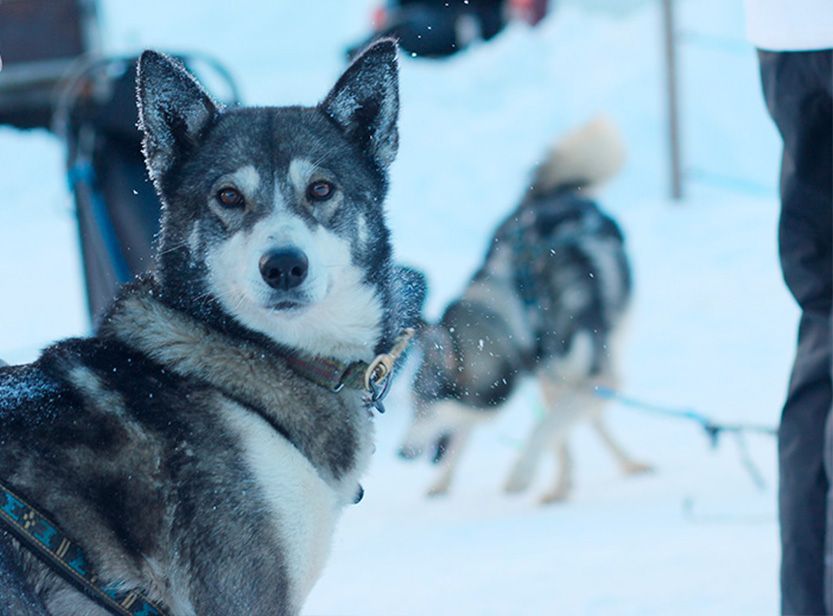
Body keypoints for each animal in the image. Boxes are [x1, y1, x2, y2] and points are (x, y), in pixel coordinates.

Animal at [400, 116, 652, 506]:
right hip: (555, 378)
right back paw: (559, 483)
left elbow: (548, 426)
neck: (525, 307)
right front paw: (547, 477)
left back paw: (623, 464)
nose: (400, 453)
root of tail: (549, 195)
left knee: (581, 416)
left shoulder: (596, 377)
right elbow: (551, 428)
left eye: (421, 405)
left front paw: (520, 474)